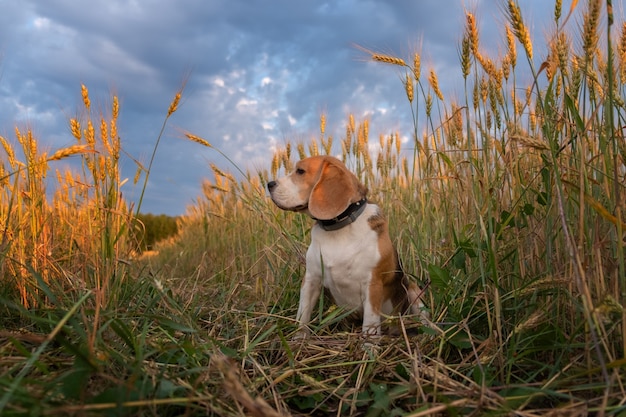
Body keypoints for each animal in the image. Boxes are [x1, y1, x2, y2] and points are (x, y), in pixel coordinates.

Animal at [266, 154, 426, 336]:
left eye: (300, 171)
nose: (269, 184)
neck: (338, 227)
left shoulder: (372, 284)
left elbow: (370, 322)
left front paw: (369, 343)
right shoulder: (311, 280)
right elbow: (302, 316)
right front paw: (299, 338)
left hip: (414, 290)